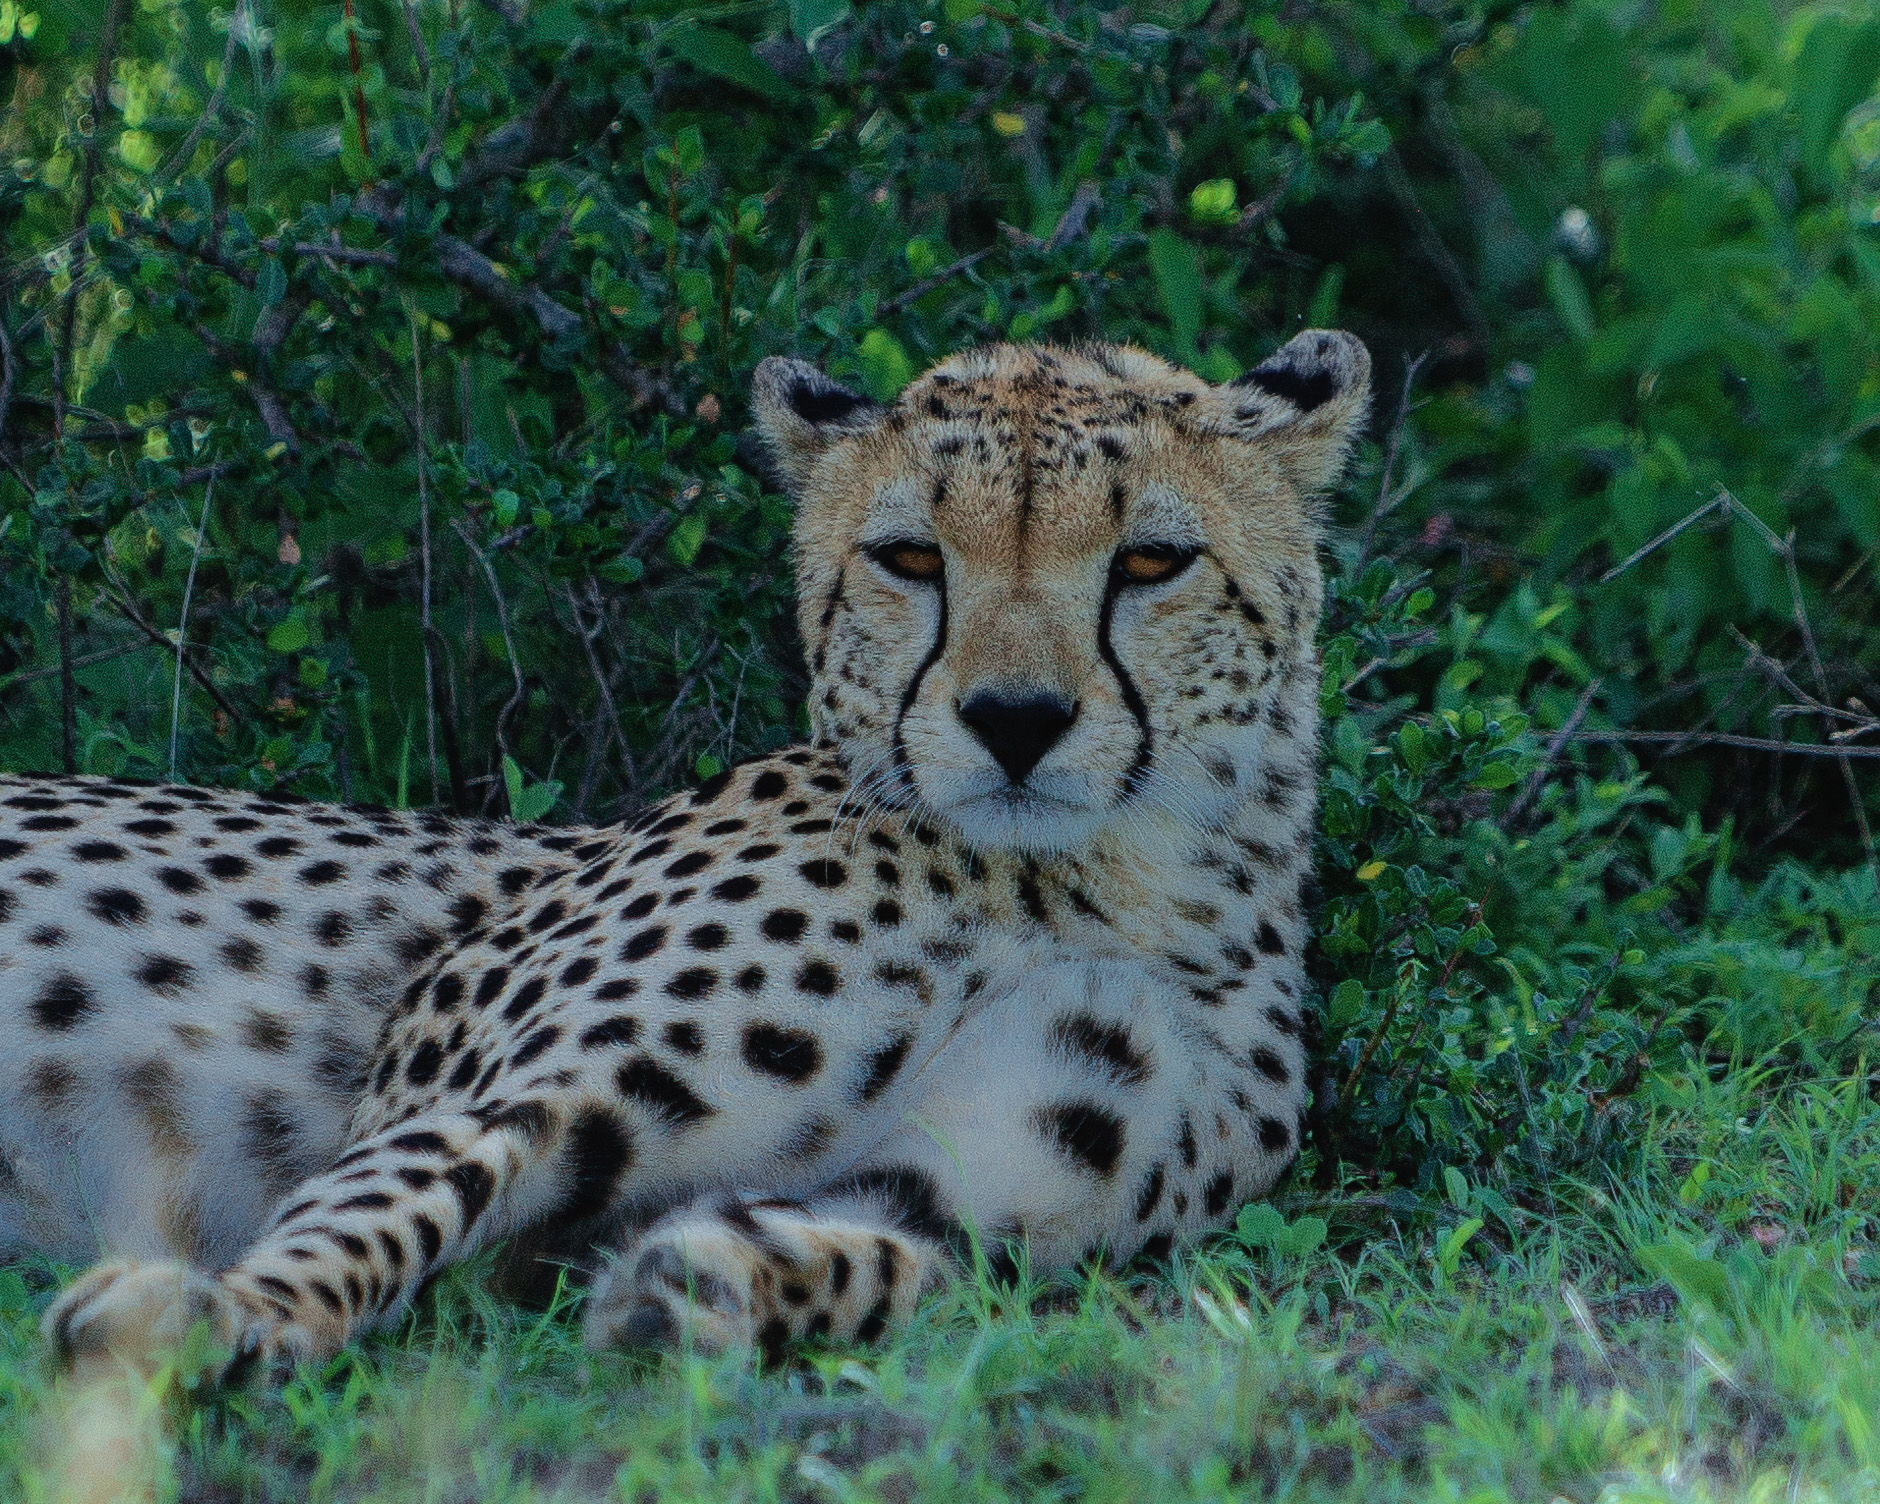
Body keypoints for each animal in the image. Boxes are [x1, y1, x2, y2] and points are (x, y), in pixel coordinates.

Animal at [1, 328, 1370, 1381]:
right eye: (910, 558)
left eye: (1149, 560)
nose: (1016, 720)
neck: (1104, 888)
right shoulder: (481, 1086)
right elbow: (394, 1195)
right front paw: (233, 1315)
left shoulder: (956, 1199)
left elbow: (885, 1259)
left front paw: (695, 1286)